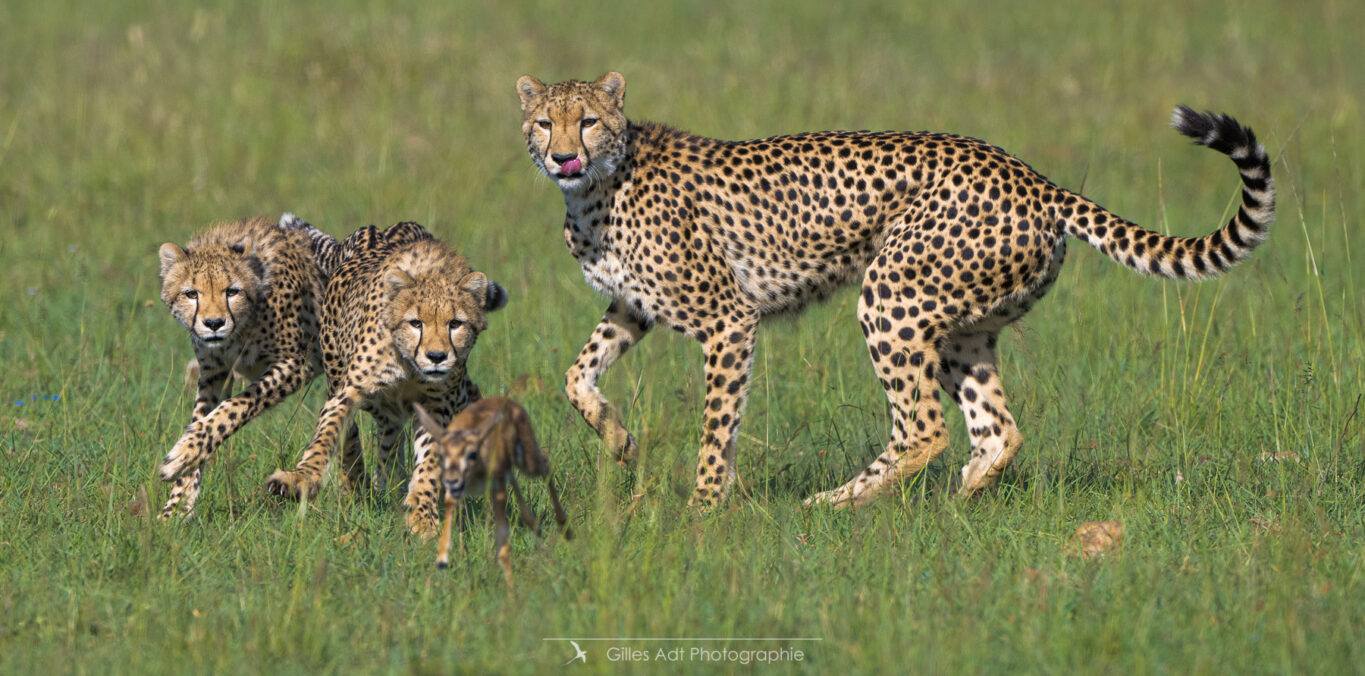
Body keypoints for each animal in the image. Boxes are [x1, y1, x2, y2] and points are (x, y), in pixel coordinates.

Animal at [156, 217, 324, 518]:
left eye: (232, 291)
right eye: (191, 294)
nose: (213, 323)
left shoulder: (299, 364)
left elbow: (236, 407)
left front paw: (182, 458)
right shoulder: (214, 373)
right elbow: (203, 420)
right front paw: (177, 504)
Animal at [260, 222, 507, 540]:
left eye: (455, 323)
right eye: (416, 323)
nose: (437, 357)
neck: (409, 366)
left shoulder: (437, 406)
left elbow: (429, 462)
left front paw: (421, 516)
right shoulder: (350, 391)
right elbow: (326, 434)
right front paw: (298, 479)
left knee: (395, 440)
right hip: (343, 379)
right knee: (354, 438)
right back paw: (358, 486)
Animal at [513, 72, 1266, 508]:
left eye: (588, 120)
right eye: (544, 122)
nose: (561, 155)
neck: (598, 187)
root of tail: (1030, 174)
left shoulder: (728, 320)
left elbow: (716, 427)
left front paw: (702, 510)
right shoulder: (630, 306)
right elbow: (574, 375)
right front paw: (617, 440)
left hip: (889, 296)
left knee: (925, 427)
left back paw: (835, 503)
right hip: (960, 327)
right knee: (997, 430)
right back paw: (958, 503)